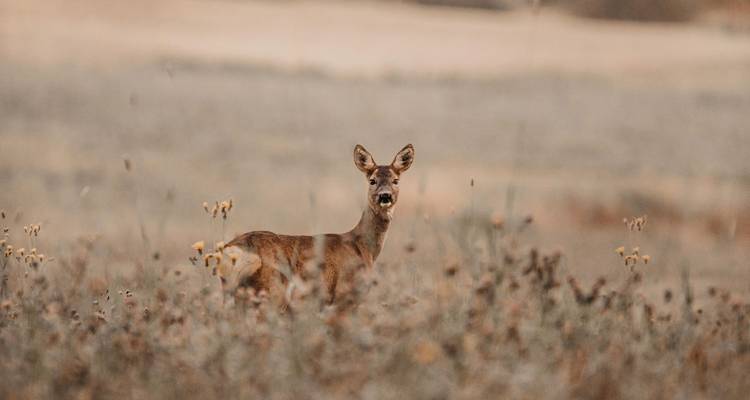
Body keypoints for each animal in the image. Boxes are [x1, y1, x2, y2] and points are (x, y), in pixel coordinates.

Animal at [219, 144, 415, 307]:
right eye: (372, 180)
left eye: (396, 180)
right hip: (270, 291)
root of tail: (232, 250)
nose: (385, 196)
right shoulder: (343, 295)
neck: (363, 247)